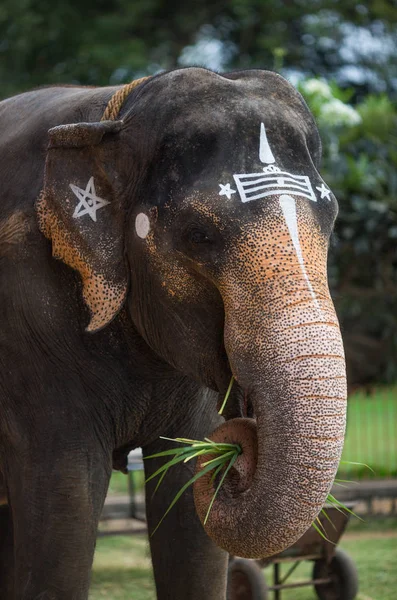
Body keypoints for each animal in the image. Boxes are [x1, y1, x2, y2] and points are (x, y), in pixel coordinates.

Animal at [0, 67, 346, 600]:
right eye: (200, 236)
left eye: (331, 222)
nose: (241, 448)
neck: (112, 116)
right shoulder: (29, 328)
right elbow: (65, 502)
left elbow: (188, 499)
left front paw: (206, 457)